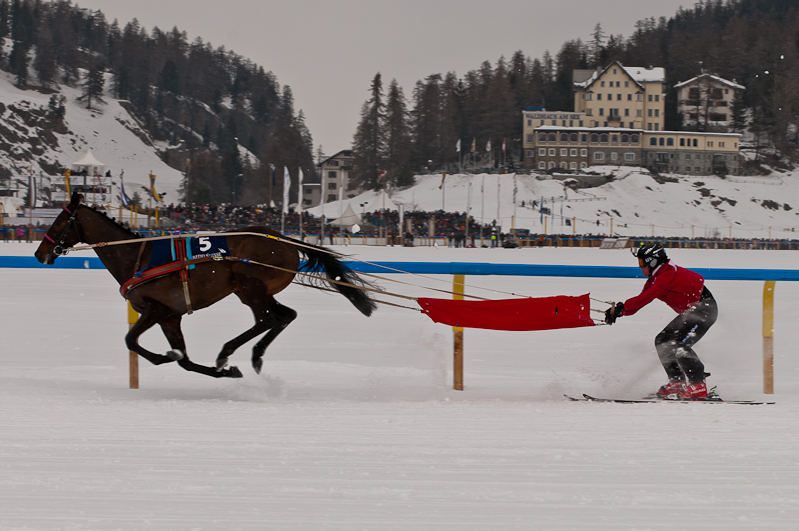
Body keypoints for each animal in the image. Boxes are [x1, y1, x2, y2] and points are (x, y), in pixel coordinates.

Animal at [34, 193, 378, 380]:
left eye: (58, 221)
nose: (40, 253)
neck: (136, 256)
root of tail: (282, 238)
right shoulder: (171, 317)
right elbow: (185, 360)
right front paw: (222, 371)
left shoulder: (156, 308)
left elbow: (131, 340)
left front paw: (169, 357)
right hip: (257, 290)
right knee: (285, 316)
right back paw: (253, 356)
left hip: (250, 285)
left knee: (266, 319)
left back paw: (228, 352)